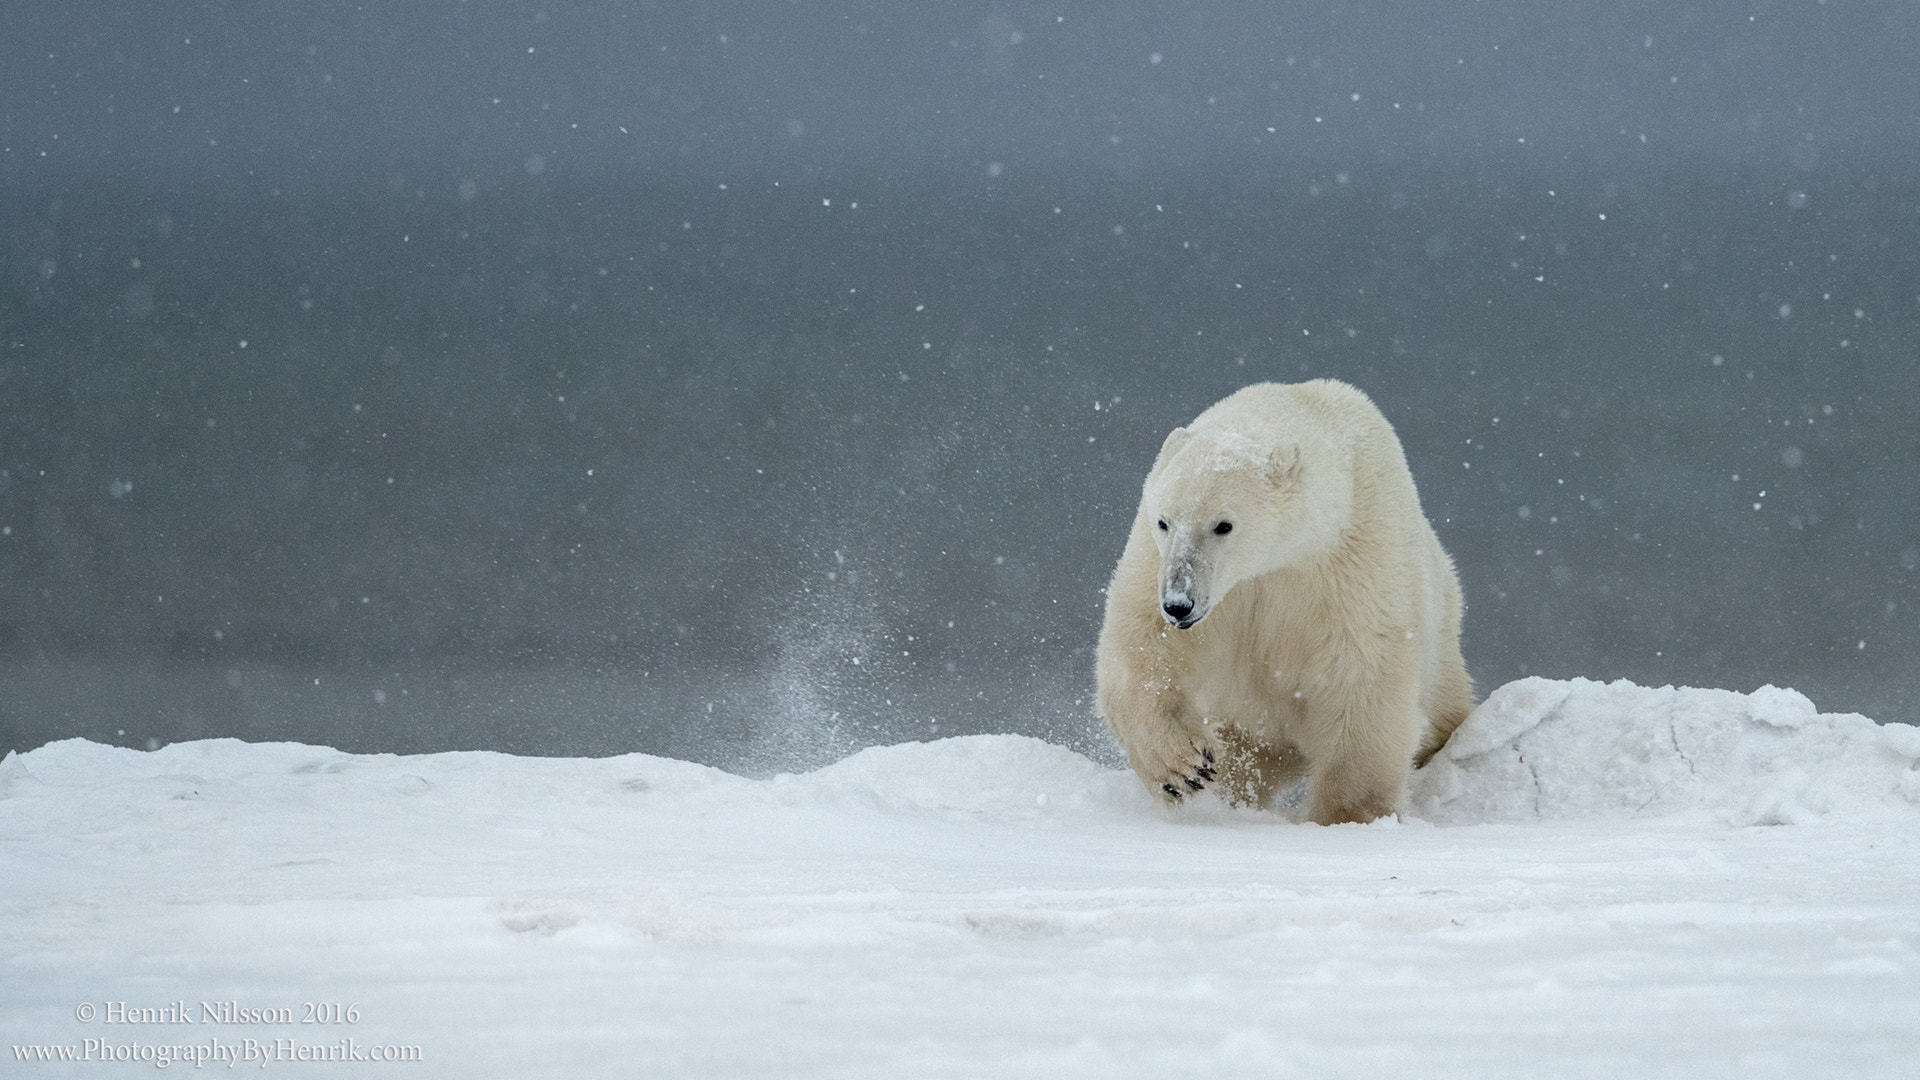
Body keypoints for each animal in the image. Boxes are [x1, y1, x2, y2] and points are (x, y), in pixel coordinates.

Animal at [1098, 380, 1466, 822]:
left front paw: (1346, 816)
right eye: (1164, 520)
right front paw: (1183, 767)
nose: (1179, 604)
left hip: (1442, 641)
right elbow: (1144, 644)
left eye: (1223, 524)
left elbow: (1362, 680)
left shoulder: (1355, 564)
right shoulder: (1160, 563)